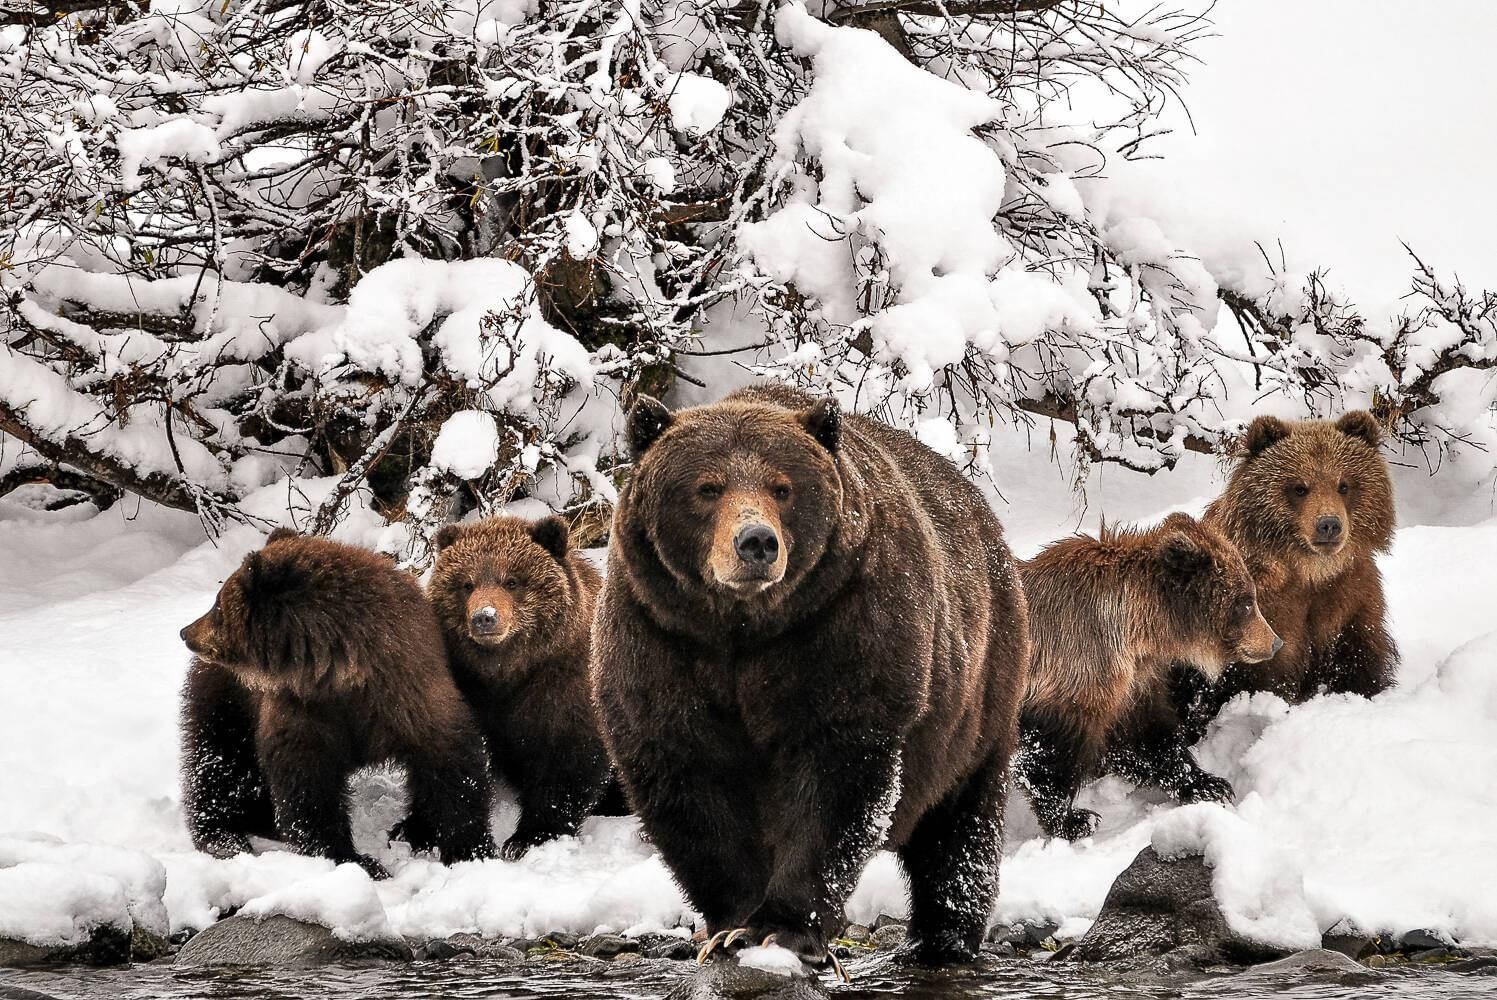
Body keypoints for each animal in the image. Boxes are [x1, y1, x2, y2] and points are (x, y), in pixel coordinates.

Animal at [179, 526, 497, 880]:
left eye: (218, 607)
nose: (186, 632)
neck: (339, 674)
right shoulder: (304, 711)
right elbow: (308, 789)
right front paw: (355, 859)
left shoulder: (408, 694)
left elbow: (451, 764)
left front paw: (470, 848)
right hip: (231, 701)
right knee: (220, 763)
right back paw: (226, 835)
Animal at [413, 514, 616, 862]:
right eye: (467, 584)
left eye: (512, 581)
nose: (485, 617)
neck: (506, 670)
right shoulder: (465, 683)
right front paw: (415, 829)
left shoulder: (563, 686)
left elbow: (567, 761)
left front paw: (529, 837)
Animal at [589, 383, 1035, 970]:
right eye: (707, 487)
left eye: (783, 487)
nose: (756, 542)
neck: (743, 628)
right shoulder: (660, 637)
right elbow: (690, 784)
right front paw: (731, 923)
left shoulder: (839, 629)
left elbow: (834, 781)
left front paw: (778, 928)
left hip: (980, 695)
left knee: (959, 828)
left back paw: (944, 938)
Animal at [1023, 511, 1281, 838]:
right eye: (1246, 602)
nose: (1274, 642)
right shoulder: (1075, 671)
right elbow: (1046, 755)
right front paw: (1074, 819)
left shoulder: (1134, 685)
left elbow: (1147, 739)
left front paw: (1207, 784)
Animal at [1197, 413, 1395, 703]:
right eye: (1300, 487)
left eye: (1343, 485)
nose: (1328, 524)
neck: (1311, 571)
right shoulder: (1263, 612)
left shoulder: (1350, 597)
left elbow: (1359, 658)